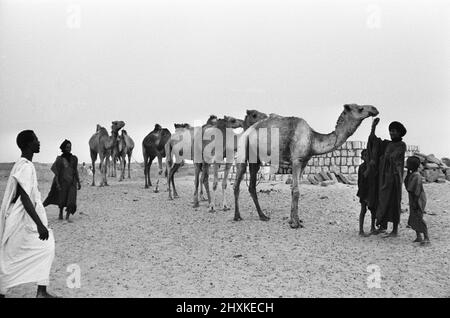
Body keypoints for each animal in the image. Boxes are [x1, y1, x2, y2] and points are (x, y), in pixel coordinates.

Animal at [234, 103, 378, 227]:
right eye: (360, 108)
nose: (374, 109)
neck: (312, 140)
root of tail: (246, 132)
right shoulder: (296, 160)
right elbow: (296, 190)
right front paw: (295, 223)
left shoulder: (304, 162)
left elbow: (294, 189)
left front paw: (293, 220)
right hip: (243, 148)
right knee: (237, 181)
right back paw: (237, 216)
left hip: (255, 158)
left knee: (252, 185)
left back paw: (263, 216)